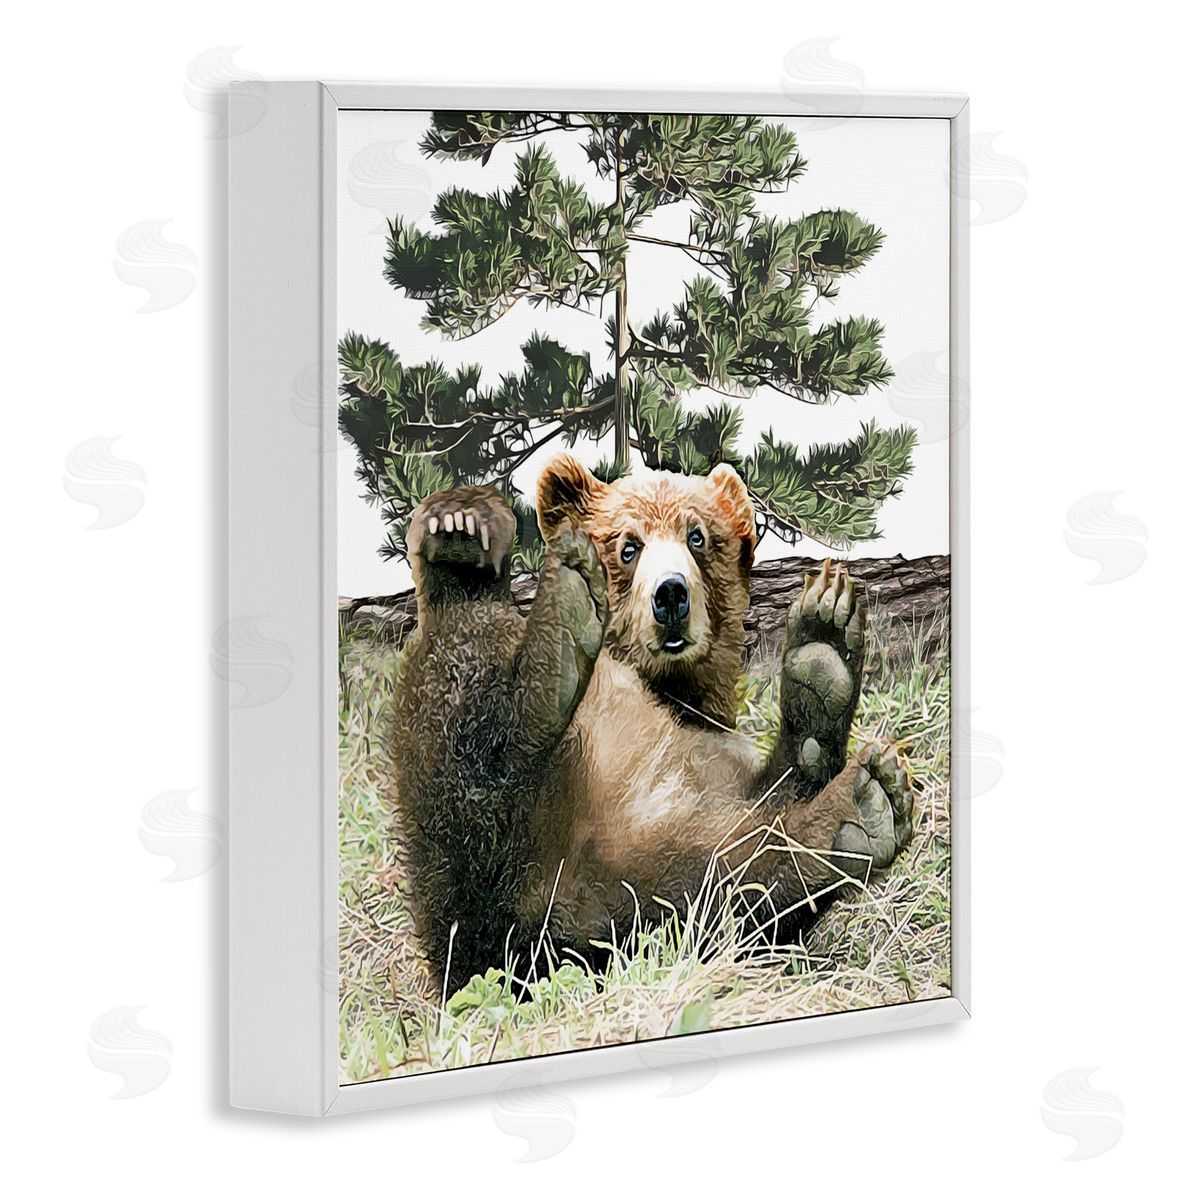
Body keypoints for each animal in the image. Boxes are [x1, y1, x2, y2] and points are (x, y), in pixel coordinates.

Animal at [391, 453, 914, 993]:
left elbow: (760, 832)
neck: (668, 689)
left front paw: (821, 660)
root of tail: (547, 894)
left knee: (719, 880)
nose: (671, 594)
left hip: (616, 889)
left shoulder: (711, 757)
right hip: (486, 885)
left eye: (697, 536)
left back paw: (856, 802)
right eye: (628, 545)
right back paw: (486, 561)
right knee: (461, 713)